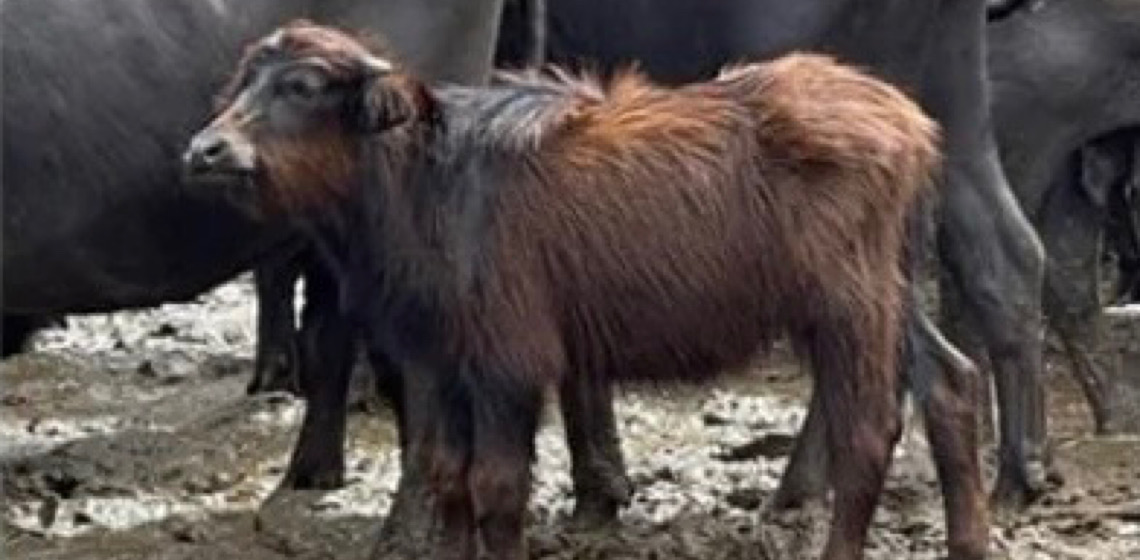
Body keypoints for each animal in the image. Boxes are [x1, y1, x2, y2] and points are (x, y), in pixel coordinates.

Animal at [184, 20, 934, 560]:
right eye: (247, 79)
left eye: (303, 86)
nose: (203, 151)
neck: (429, 188)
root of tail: (908, 122)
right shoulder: (449, 365)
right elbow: (450, 478)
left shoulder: (508, 368)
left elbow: (497, 488)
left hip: (851, 312)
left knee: (868, 437)